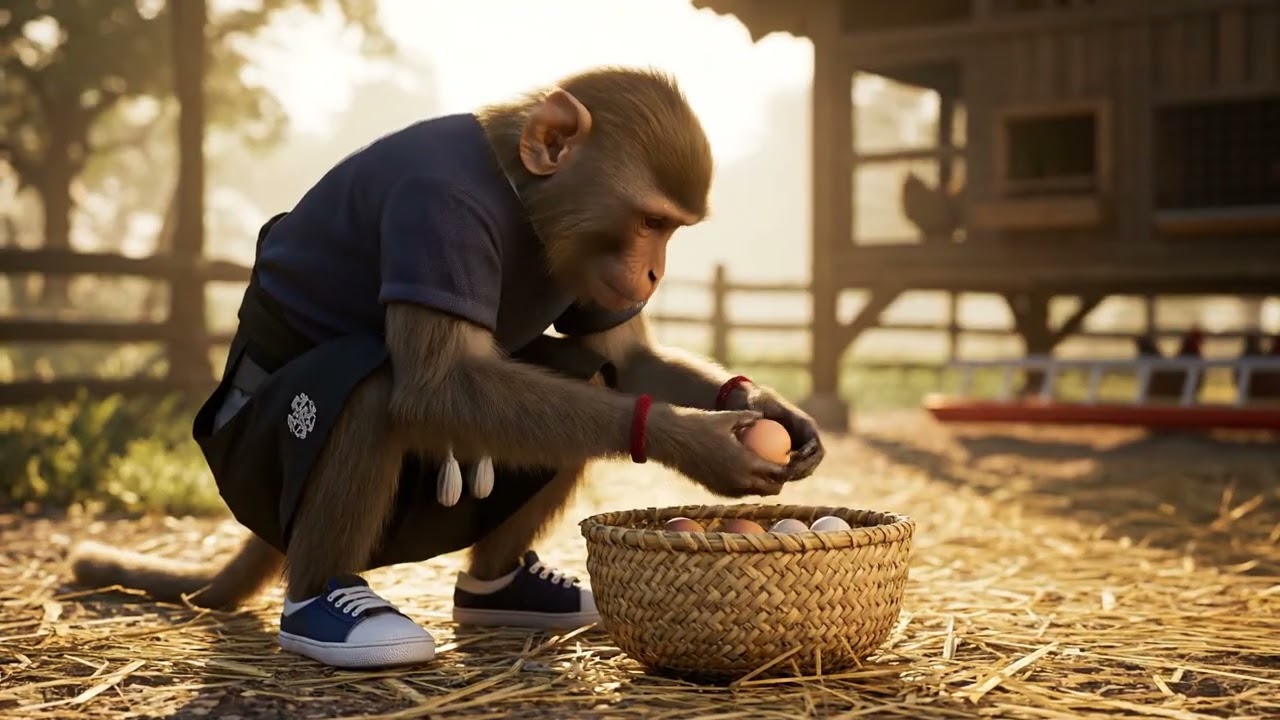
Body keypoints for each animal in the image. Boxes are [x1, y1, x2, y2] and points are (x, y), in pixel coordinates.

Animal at [70, 67, 826, 670]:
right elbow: (437, 385)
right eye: (650, 222)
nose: (654, 273)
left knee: (585, 379)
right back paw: (328, 605)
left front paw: (774, 410)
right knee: (374, 390)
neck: (518, 194)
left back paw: (501, 585)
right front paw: (703, 442)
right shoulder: (436, 209)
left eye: (670, 229)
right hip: (249, 472)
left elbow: (627, 360)